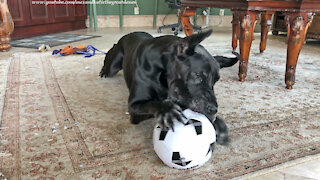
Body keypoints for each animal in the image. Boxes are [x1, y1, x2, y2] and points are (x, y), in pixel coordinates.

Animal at [100, 29, 238, 145]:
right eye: (198, 75)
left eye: (215, 81)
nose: (214, 110)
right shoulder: (134, 108)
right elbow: (152, 103)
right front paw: (167, 110)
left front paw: (218, 124)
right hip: (113, 66)